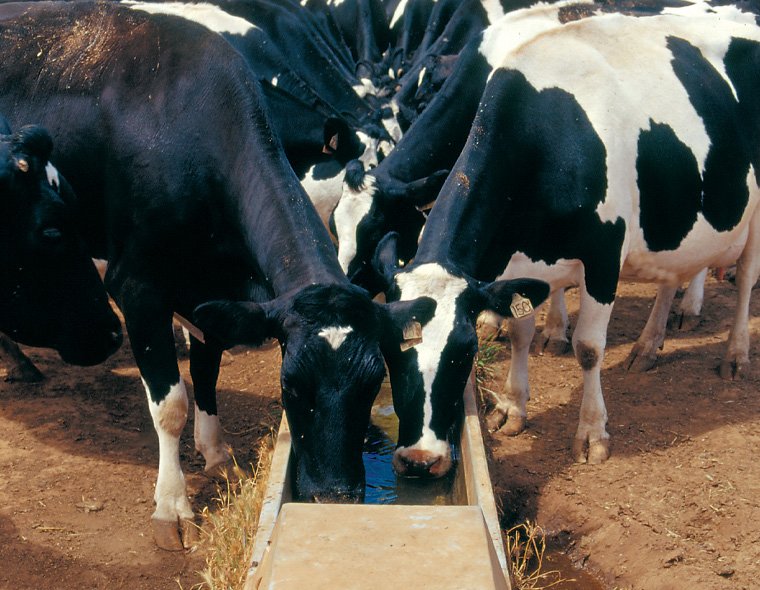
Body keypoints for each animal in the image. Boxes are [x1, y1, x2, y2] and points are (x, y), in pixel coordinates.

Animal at [371, 0, 760, 477]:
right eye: (390, 352)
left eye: (464, 351)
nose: (419, 460)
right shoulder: (517, 263)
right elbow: (520, 332)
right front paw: (512, 408)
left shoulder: (604, 256)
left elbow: (589, 348)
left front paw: (592, 433)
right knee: (671, 275)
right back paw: (648, 347)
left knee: (746, 279)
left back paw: (735, 355)